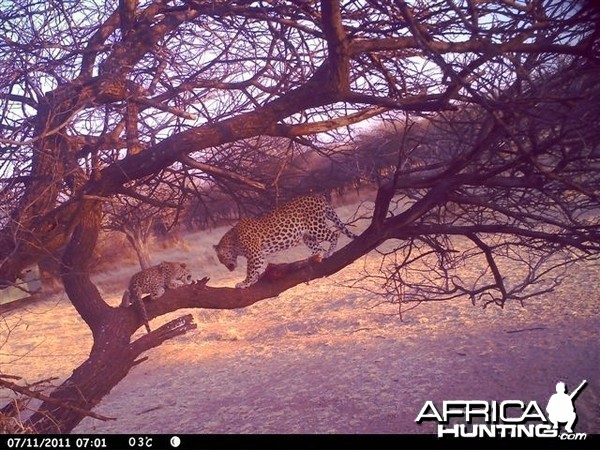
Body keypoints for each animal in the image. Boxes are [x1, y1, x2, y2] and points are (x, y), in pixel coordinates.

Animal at [216, 194, 356, 288]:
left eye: (222, 259)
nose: (229, 269)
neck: (233, 242)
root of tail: (318, 196)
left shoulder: (255, 255)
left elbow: (250, 270)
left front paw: (244, 282)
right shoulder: (259, 255)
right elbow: (256, 269)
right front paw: (253, 280)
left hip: (316, 227)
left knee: (334, 235)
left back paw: (328, 253)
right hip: (307, 235)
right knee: (318, 248)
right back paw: (308, 259)